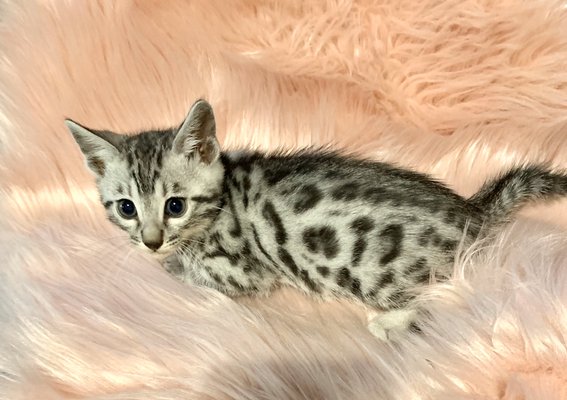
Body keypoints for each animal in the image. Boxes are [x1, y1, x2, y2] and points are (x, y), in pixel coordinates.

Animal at [65, 99, 567, 341]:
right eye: (126, 208)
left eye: (175, 205)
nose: (151, 242)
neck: (223, 198)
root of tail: (473, 209)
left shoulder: (245, 274)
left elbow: (194, 274)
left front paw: (171, 264)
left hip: (385, 272)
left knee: (455, 301)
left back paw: (390, 325)